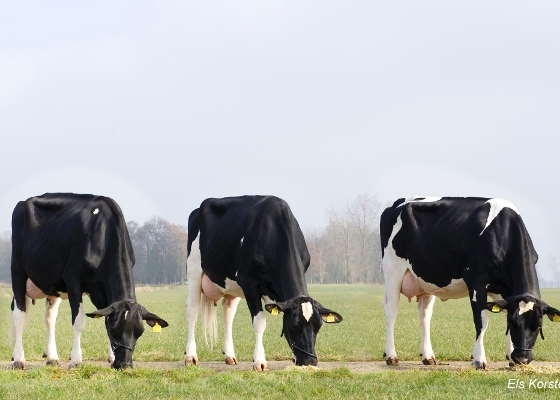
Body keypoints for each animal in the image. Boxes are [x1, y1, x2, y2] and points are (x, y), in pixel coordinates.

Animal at [10, 192, 168, 370]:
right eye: (115, 330)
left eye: (139, 332)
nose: (124, 364)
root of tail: (23, 202)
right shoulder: (73, 279)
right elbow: (79, 321)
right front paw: (76, 361)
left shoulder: (99, 289)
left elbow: (105, 317)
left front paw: (111, 357)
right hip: (17, 272)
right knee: (19, 314)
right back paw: (18, 359)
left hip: (51, 285)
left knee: (50, 317)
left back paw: (51, 357)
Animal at [185, 195, 342, 370]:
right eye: (293, 325)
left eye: (318, 326)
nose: (310, 362)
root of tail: (198, 209)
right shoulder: (249, 284)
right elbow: (259, 322)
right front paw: (259, 361)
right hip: (194, 270)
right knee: (192, 311)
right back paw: (191, 357)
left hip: (232, 285)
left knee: (228, 315)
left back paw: (230, 356)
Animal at [380, 197, 560, 368]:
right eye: (514, 324)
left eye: (538, 326)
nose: (522, 358)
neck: (502, 232)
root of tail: (399, 202)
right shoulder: (476, 280)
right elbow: (482, 321)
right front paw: (479, 359)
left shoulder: (504, 290)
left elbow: (505, 313)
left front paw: (511, 358)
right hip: (392, 272)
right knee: (391, 311)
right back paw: (391, 356)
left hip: (426, 281)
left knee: (424, 315)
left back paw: (428, 356)